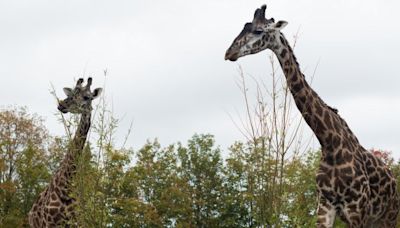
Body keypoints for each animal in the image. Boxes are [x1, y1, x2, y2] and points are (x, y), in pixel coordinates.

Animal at [28, 78, 102, 226]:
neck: (65, 187)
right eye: (71, 93)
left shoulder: (75, 222)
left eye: (87, 97)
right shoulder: (48, 223)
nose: (61, 104)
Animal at [225, 4, 400, 227]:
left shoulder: (356, 210)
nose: (229, 52)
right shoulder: (325, 206)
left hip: (387, 217)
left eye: (258, 31)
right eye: (244, 27)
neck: (329, 142)